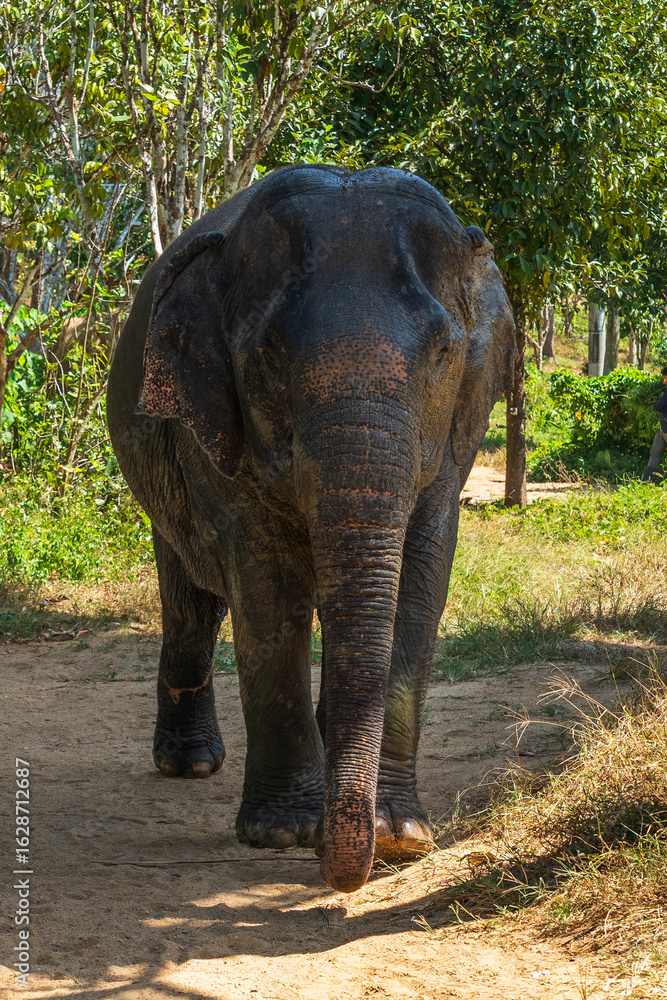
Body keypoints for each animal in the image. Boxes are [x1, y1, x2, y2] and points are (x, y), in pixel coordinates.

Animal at [107, 164, 516, 893]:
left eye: (443, 352)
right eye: (268, 354)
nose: (336, 866)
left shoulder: (452, 445)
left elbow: (417, 587)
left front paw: (402, 836)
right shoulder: (218, 433)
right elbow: (268, 597)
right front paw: (284, 834)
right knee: (189, 600)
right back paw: (191, 766)